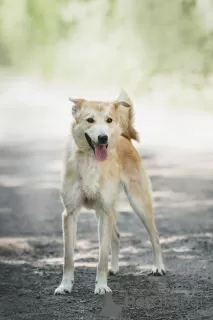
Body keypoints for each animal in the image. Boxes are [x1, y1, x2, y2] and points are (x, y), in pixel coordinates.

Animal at [54, 90, 166, 296]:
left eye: (109, 120)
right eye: (90, 120)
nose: (103, 138)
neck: (91, 161)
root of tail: (123, 136)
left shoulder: (106, 212)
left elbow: (102, 257)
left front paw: (101, 286)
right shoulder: (70, 213)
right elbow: (68, 257)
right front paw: (65, 285)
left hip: (138, 203)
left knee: (154, 235)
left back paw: (158, 267)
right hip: (105, 210)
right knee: (117, 236)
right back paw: (114, 268)